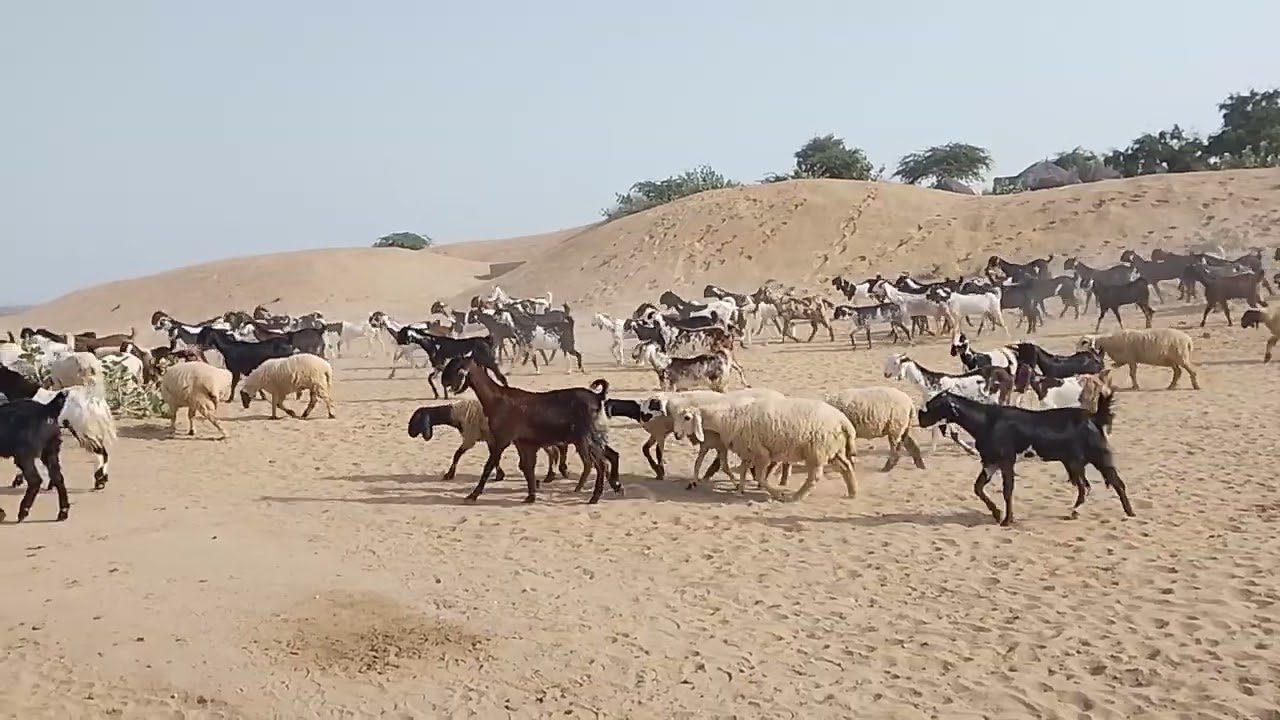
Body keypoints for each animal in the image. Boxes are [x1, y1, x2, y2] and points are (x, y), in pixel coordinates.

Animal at [916, 391, 1134, 526]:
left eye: (933, 405)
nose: (919, 418)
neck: (986, 420)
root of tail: (1094, 417)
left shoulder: (1006, 462)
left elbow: (1007, 491)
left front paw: (1007, 520)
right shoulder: (990, 462)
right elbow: (978, 488)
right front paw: (996, 514)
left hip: (1098, 456)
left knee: (1115, 483)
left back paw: (1130, 513)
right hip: (1074, 462)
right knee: (1086, 487)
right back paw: (1076, 511)